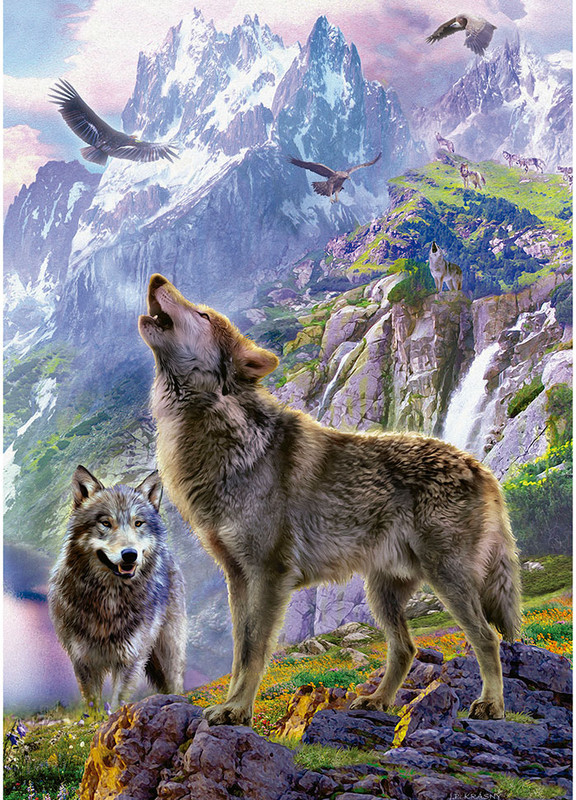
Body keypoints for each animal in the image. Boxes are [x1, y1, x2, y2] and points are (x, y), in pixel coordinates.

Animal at [48, 466, 187, 708]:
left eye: (138, 523)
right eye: (105, 523)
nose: (130, 554)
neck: (109, 601)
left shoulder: (131, 659)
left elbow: (116, 703)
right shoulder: (83, 661)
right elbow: (93, 705)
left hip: (167, 653)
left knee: (175, 683)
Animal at [139, 274, 521, 727]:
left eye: (202, 314)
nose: (157, 278)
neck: (218, 433)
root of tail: (481, 468)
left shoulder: (269, 574)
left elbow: (254, 650)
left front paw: (237, 709)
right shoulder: (238, 576)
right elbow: (238, 651)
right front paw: (233, 706)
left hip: (447, 579)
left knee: (487, 637)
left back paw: (491, 704)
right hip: (383, 592)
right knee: (406, 648)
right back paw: (378, 700)